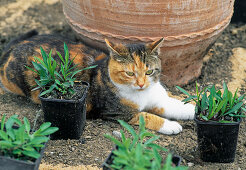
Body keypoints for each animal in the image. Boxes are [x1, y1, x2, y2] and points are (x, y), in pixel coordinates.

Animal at [0, 30, 196, 134]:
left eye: (149, 71)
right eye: (129, 73)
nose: (141, 84)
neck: (142, 95)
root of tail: (11, 48)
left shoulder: (159, 99)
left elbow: (177, 105)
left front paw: (194, 109)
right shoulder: (116, 112)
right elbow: (145, 116)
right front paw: (170, 125)